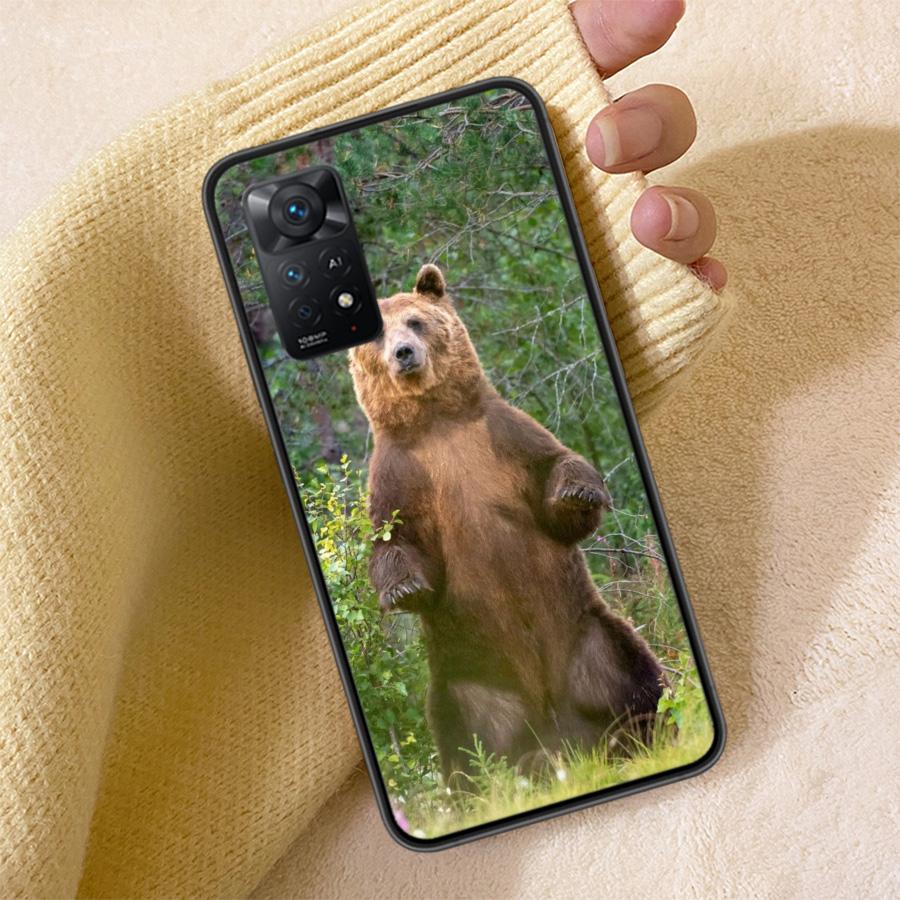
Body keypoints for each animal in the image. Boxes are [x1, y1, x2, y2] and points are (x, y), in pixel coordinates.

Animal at [349, 263, 664, 783]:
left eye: (415, 321)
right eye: (378, 337)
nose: (403, 353)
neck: (436, 424)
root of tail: (560, 733)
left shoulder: (503, 436)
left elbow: (554, 473)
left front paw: (579, 492)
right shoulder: (400, 474)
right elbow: (397, 539)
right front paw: (404, 588)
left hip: (588, 637)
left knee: (634, 674)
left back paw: (646, 729)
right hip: (468, 678)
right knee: (458, 732)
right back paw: (487, 779)